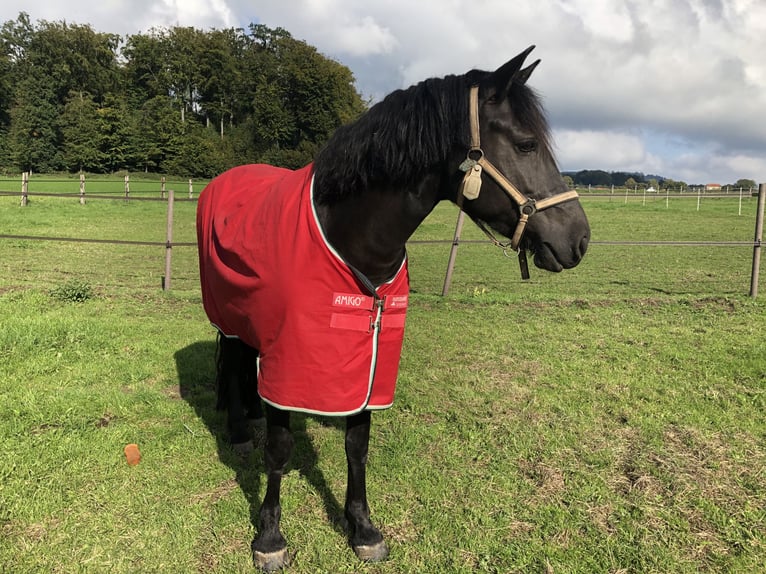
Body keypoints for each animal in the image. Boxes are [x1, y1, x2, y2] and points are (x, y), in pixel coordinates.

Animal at [195, 48, 592, 572]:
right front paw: (270, 537)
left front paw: (362, 527)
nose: (579, 239)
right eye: (527, 144)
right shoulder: (290, 362)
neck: (349, 239)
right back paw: (241, 431)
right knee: (235, 363)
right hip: (230, 316)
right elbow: (280, 452)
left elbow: (357, 446)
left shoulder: (370, 361)